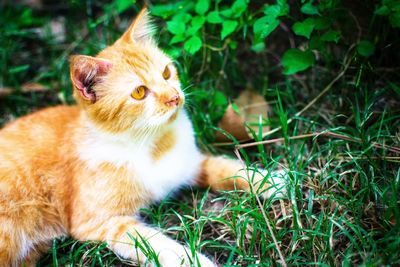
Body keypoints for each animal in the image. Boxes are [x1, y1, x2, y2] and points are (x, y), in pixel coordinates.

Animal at [0, 8, 284, 267]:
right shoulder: (102, 223)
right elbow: (157, 244)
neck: (151, 145)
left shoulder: (190, 164)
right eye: (139, 92)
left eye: (167, 73)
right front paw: (195, 261)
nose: (174, 97)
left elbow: (228, 169)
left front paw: (275, 181)